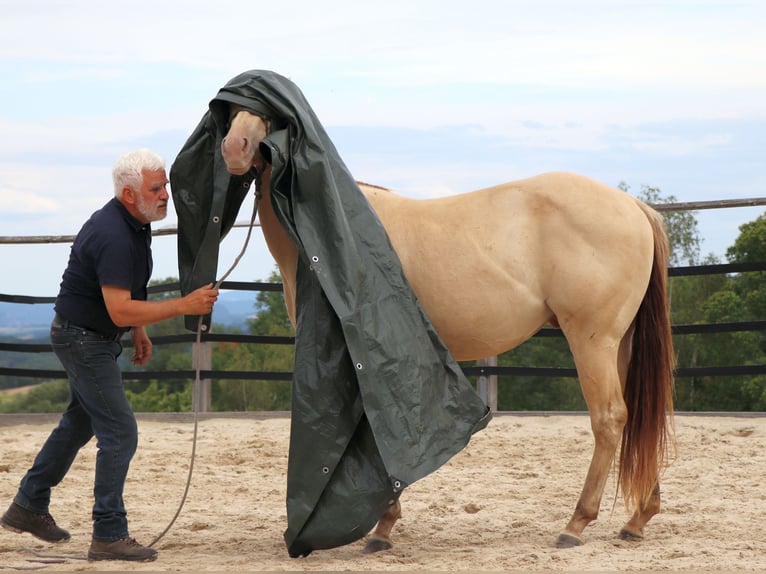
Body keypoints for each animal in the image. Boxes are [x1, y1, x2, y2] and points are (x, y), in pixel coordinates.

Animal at [220, 104, 676, 552]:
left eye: (266, 111)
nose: (235, 147)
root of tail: (633, 206)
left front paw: (382, 527)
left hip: (592, 342)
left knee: (609, 419)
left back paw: (575, 524)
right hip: (619, 344)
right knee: (636, 418)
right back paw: (638, 519)